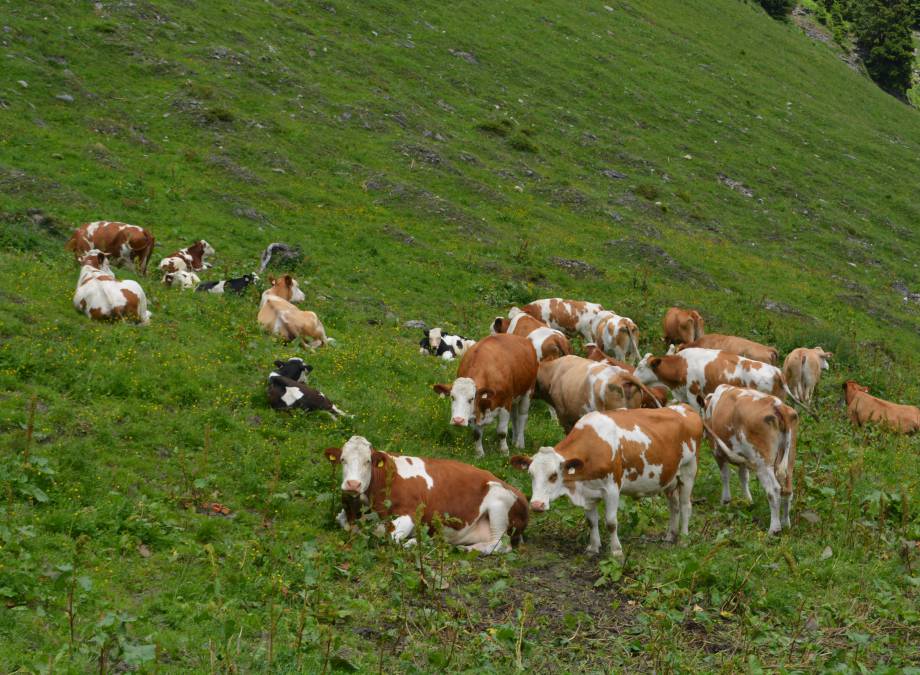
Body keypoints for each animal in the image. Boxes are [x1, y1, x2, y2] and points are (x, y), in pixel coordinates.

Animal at [328, 436, 528, 556]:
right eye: (343, 459)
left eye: (367, 461)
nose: (352, 484)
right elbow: (342, 521)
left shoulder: (410, 513)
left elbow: (388, 537)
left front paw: (413, 542)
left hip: (499, 504)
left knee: (500, 544)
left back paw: (462, 548)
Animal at [512, 406, 700, 556]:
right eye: (530, 474)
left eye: (553, 475)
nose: (536, 505)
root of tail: (684, 408)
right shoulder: (587, 492)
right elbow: (591, 521)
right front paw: (593, 548)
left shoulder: (612, 489)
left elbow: (611, 522)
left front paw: (616, 551)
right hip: (670, 478)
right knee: (674, 506)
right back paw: (670, 536)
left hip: (688, 472)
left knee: (685, 506)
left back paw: (683, 539)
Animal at [704, 386, 796, 532]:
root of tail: (777, 405)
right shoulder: (744, 457)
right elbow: (743, 476)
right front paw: (748, 500)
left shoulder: (717, 450)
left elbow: (725, 475)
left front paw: (725, 501)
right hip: (789, 459)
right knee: (787, 490)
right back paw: (786, 524)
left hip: (763, 462)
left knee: (773, 490)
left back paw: (774, 529)